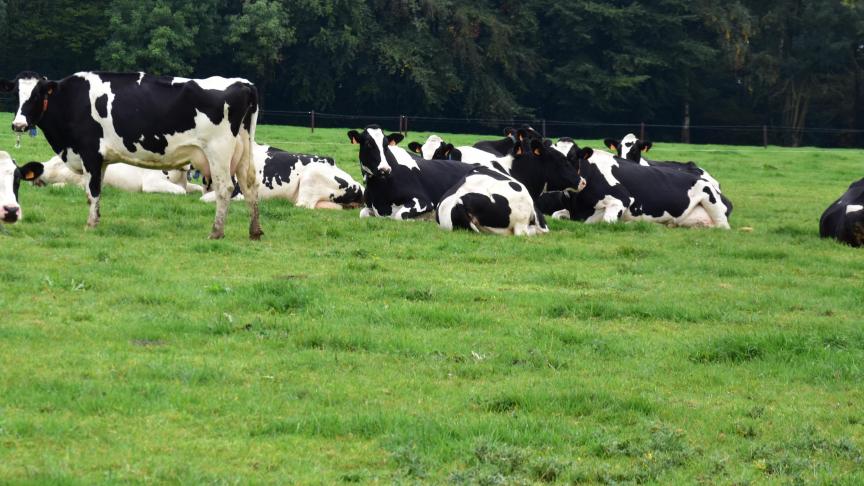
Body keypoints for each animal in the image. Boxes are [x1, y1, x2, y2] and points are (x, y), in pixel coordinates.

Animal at [0, 71, 264, 239]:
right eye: (16, 94)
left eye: (36, 95)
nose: (18, 124)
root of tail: (243, 83)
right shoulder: (102, 159)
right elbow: (96, 192)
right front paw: (97, 220)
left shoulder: (89, 152)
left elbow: (92, 191)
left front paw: (90, 225)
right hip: (244, 149)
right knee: (250, 185)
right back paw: (254, 231)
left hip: (219, 151)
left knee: (225, 188)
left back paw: (216, 231)